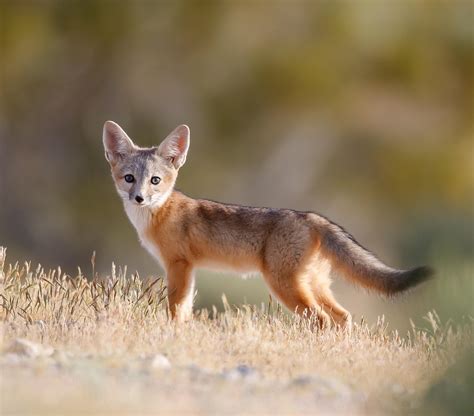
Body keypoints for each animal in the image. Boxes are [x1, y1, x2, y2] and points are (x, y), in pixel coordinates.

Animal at [103, 120, 434, 324]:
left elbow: (175, 309)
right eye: (129, 179)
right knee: (342, 317)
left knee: (323, 320)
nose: (139, 198)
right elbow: (185, 310)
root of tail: (311, 216)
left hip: (284, 286)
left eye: (155, 181)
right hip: (313, 285)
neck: (159, 215)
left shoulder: (179, 265)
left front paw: (173, 334)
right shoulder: (189, 269)